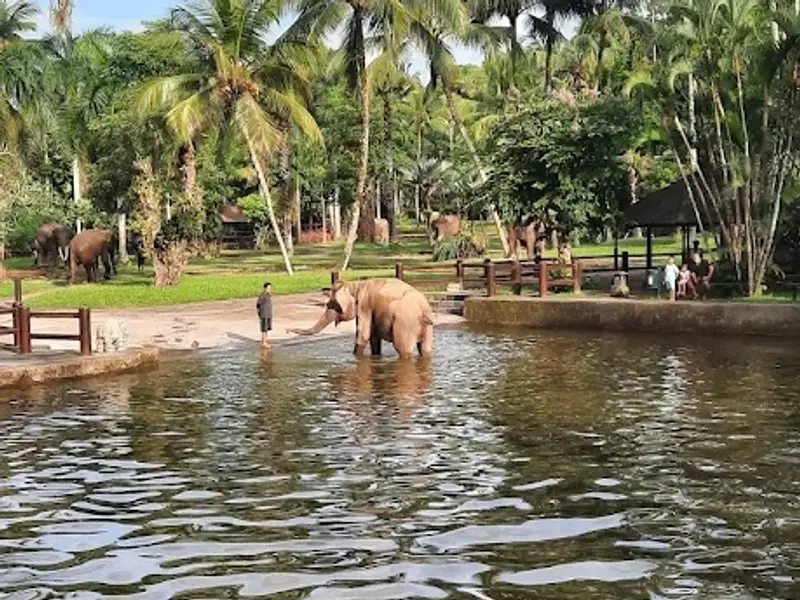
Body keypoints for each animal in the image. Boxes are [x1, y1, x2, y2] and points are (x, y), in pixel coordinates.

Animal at [288, 278, 434, 359]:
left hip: (405, 324)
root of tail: (423, 309)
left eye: (332, 305)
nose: (287, 330)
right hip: (426, 328)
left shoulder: (364, 305)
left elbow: (363, 335)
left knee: (403, 349)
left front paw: (356, 357)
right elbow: (374, 338)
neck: (355, 285)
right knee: (425, 349)